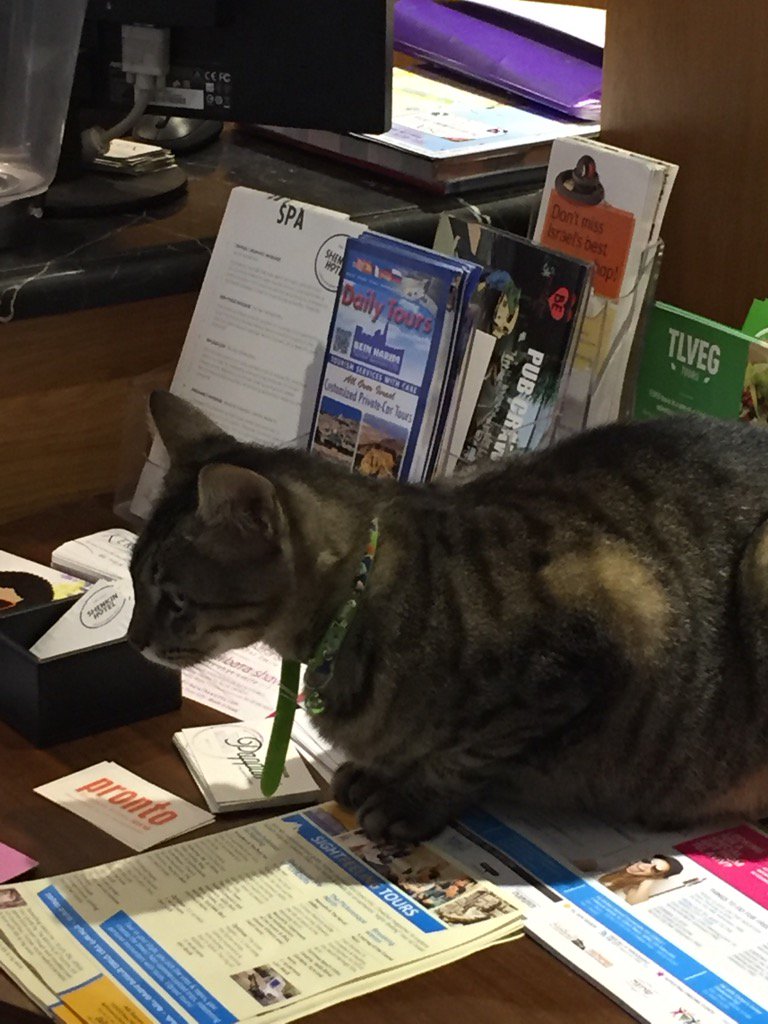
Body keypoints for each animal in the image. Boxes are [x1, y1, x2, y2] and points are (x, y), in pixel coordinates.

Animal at [130, 390, 768, 843]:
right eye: (135, 579)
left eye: (175, 599)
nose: (134, 642)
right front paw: (377, 772)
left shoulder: (617, 617)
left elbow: (468, 757)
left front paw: (409, 797)